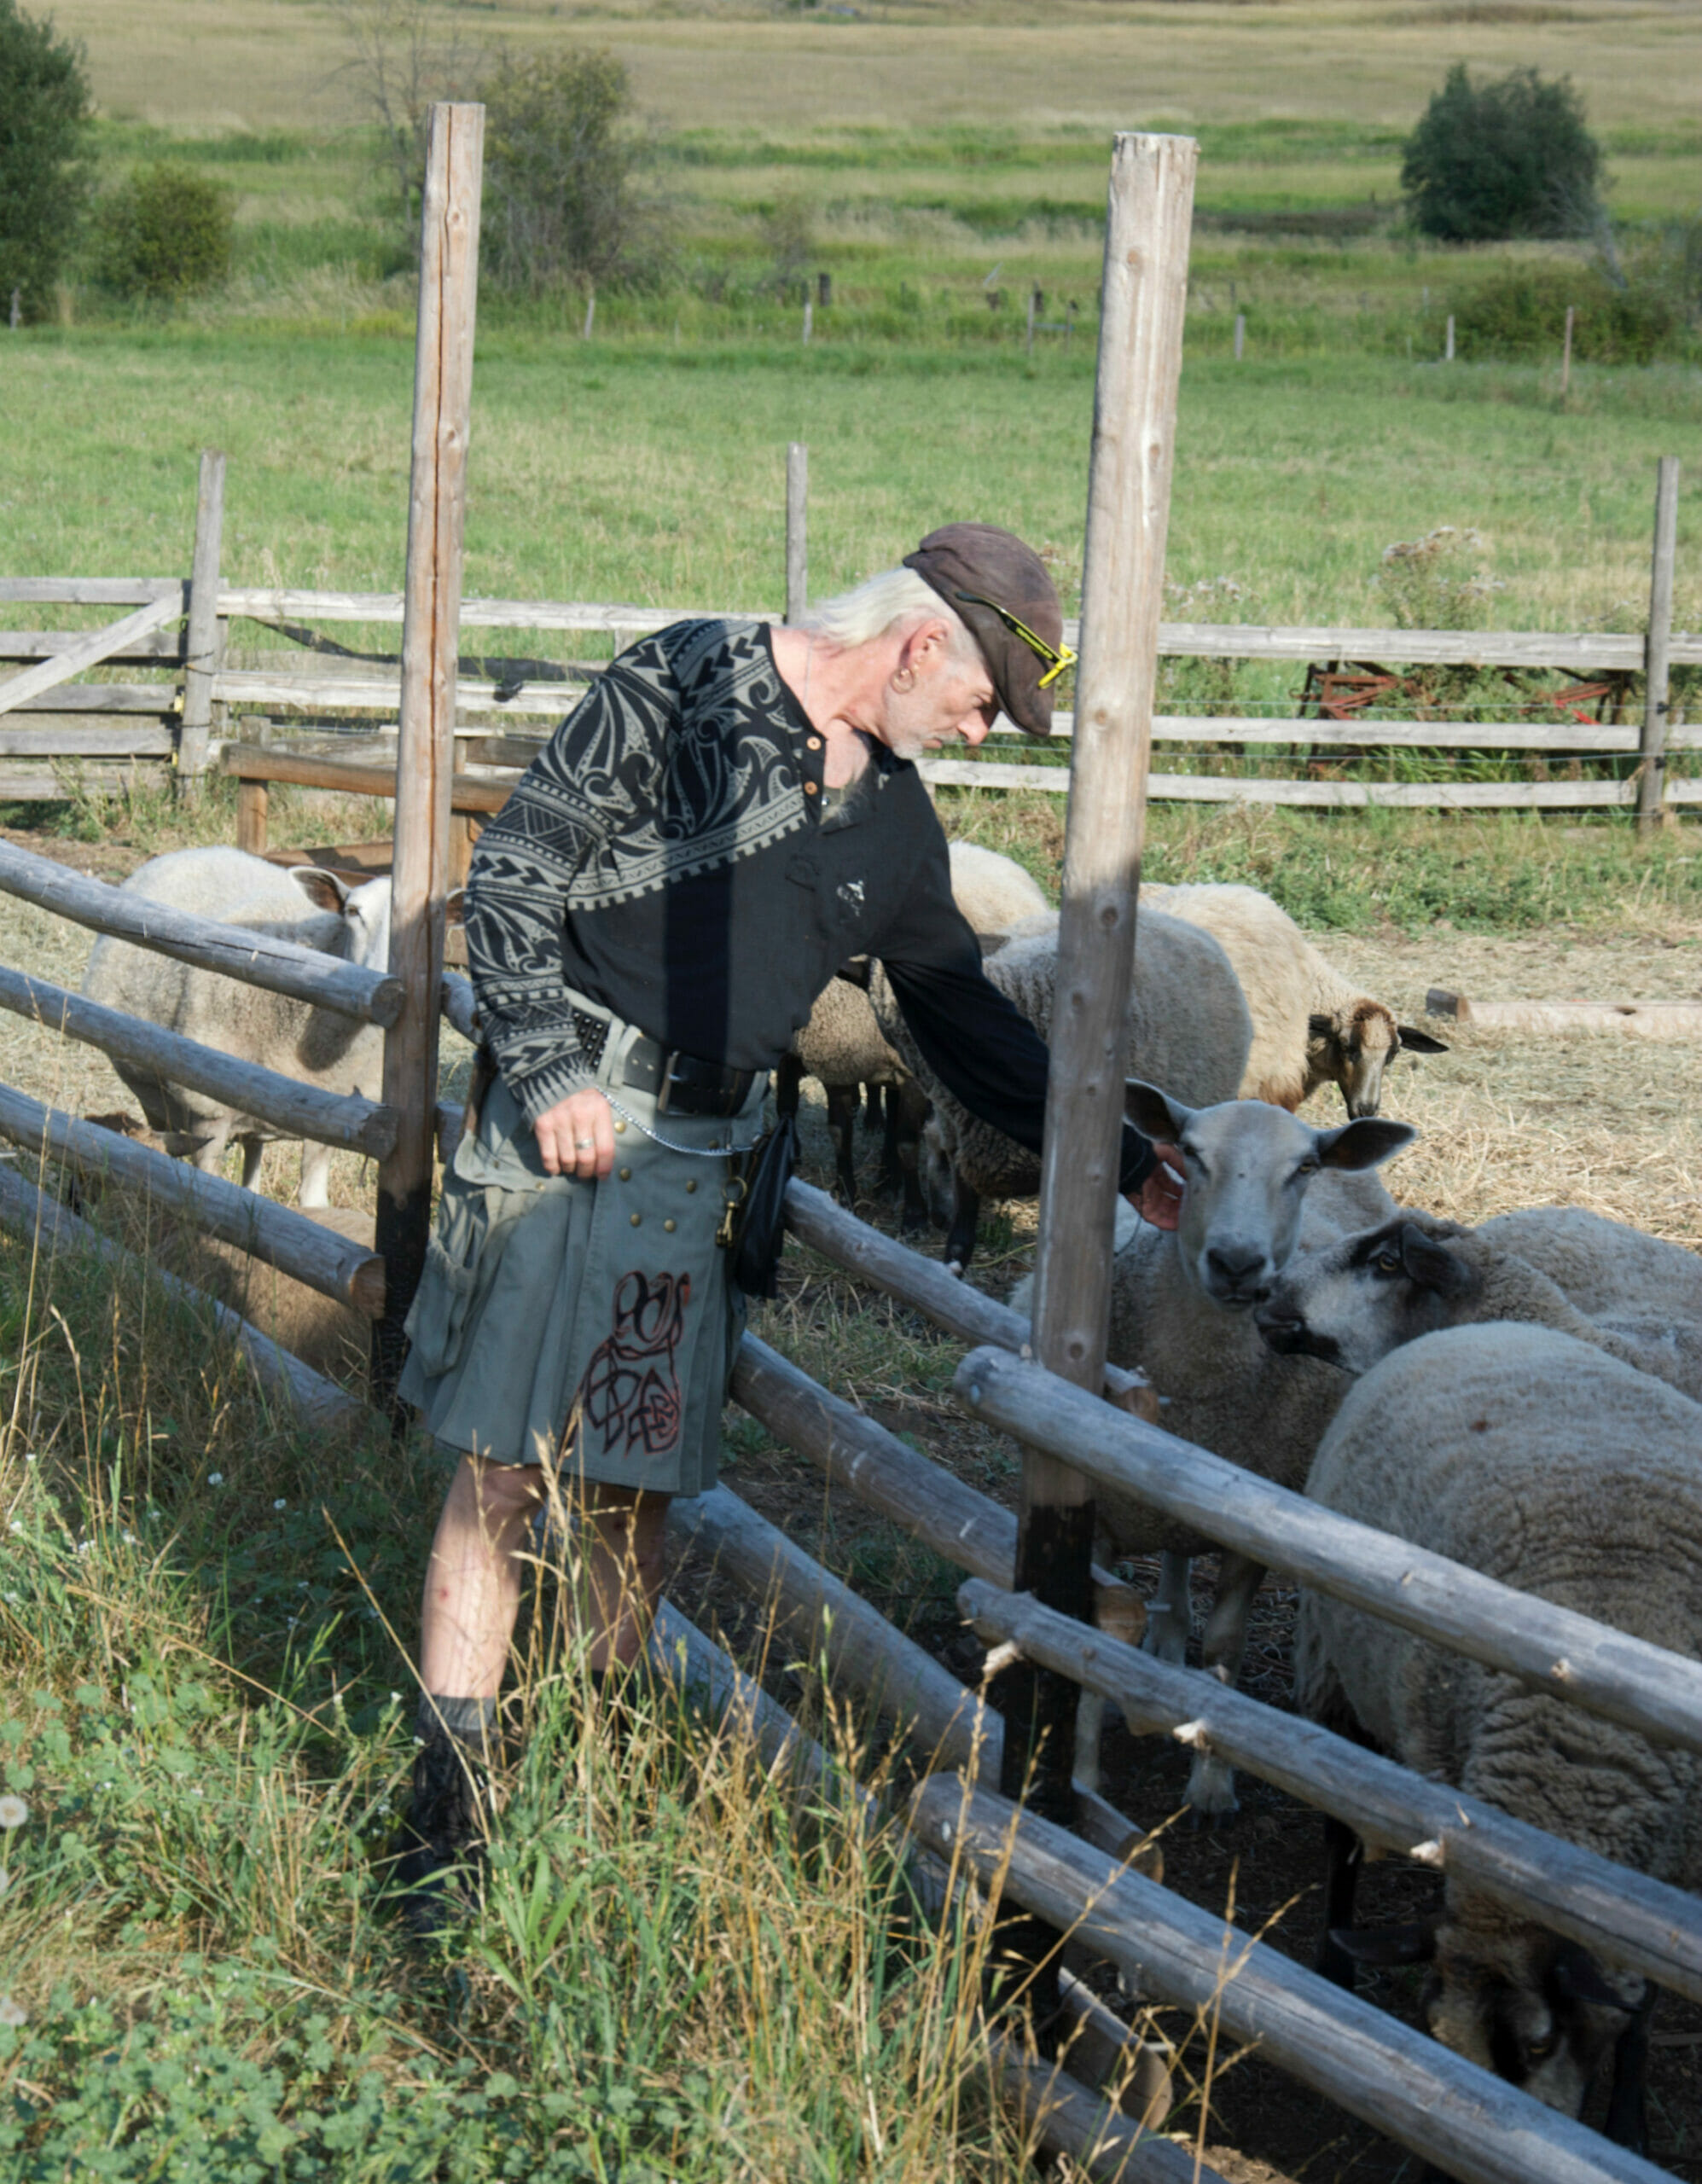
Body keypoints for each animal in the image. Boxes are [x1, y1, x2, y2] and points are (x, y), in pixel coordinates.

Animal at [81, 847, 391, 1214]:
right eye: (353, 912)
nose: (382, 973)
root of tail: (193, 851)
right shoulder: (207, 1113)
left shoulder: (334, 1123)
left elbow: (314, 1202)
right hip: (151, 1090)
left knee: (252, 1160)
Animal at [1018, 1083, 1415, 1816]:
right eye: (1191, 1154)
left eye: (1304, 1168)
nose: (1236, 1264)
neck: (1198, 1382)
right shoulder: (1098, 1510)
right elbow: (1087, 1634)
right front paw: (1083, 1776)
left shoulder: (1251, 1520)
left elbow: (1226, 1645)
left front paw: (1210, 1783)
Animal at [1293, 1310, 1702, 2149]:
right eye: (1433, 2034)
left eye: (1540, 2044)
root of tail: (1490, 1325)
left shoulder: (1672, 1870)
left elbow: (1642, 2005)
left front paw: (1627, 2123)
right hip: (1332, 1674)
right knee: (1342, 1837)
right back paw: (1333, 1967)